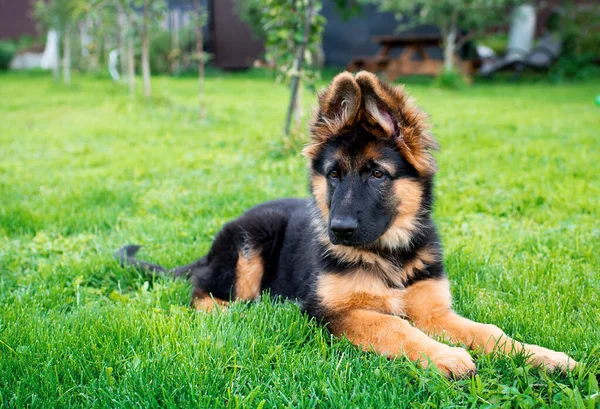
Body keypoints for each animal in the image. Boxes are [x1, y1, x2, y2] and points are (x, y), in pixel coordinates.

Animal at [117, 70, 576, 376]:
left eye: (377, 174)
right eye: (334, 174)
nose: (338, 230)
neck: (388, 255)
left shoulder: (435, 310)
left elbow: (489, 331)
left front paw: (544, 355)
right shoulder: (331, 312)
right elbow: (392, 325)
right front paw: (446, 356)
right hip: (251, 242)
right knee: (203, 294)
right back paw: (243, 312)